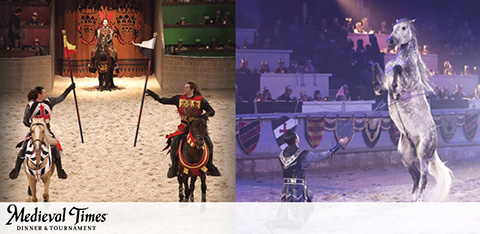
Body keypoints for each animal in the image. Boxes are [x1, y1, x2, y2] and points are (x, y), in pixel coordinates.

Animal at [372, 18, 454, 201]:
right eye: (393, 27)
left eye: (403, 28)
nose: (389, 41)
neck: (403, 58)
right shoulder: (384, 80)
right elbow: (377, 71)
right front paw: (378, 88)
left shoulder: (408, 82)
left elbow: (397, 74)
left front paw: (396, 90)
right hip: (405, 155)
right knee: (415, 176)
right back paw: (412, 198)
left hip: (423, 154)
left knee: (423, 177)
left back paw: (419, 199)